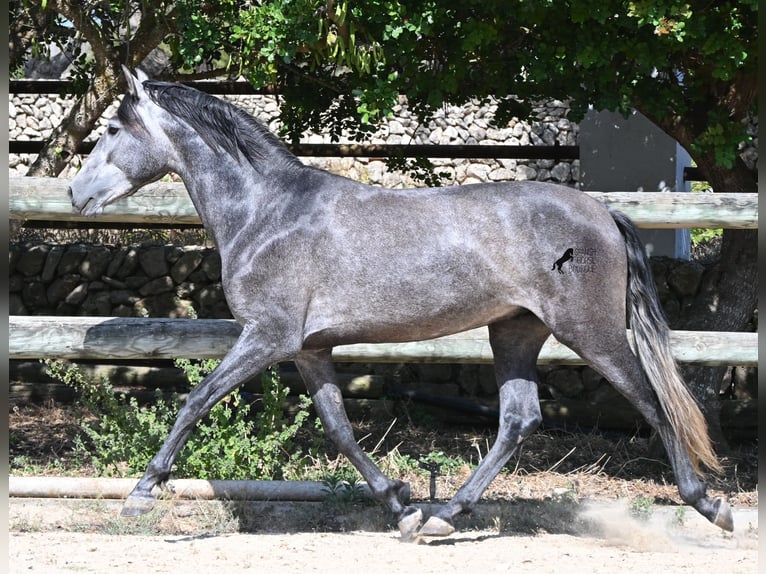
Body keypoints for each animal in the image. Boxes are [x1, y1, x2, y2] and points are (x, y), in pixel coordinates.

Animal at [69, 67, 733, 540]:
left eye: (112, 130)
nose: (76, 193)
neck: (268, 214)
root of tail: (602, 212)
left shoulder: (267, 336)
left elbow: (196, 400)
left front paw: (141, 493)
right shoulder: (309, 349)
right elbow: (339, 429)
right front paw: (402, 506)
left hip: (589, 331)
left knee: (652, 402)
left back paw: (711, 506)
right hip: (515, 332)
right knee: (519, 420)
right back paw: (442, 518)